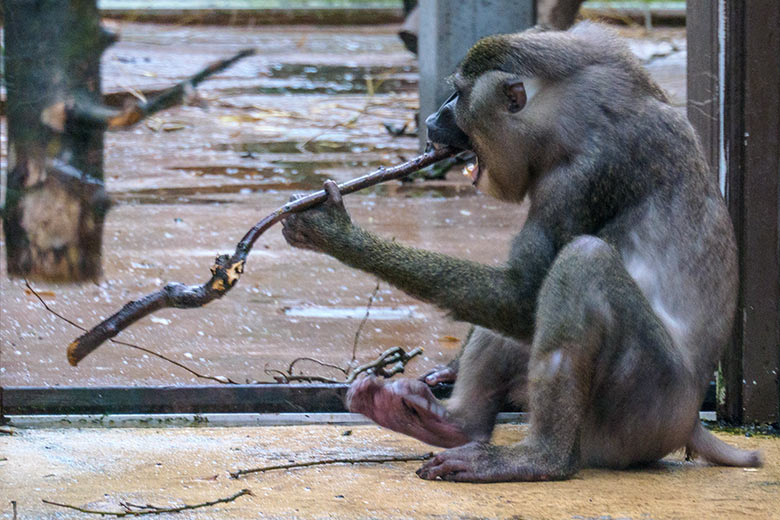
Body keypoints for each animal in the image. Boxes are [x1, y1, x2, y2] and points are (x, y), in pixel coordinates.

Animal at [282, 23, 760, 480]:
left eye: (458, 93)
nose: (434, 117)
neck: (568, 115)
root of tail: (690, 422)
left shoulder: (582, 176)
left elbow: (522, 292)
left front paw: (334, 232)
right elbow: (514, 298)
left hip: (644, 410)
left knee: (582, 263)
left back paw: (540, 459)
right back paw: (450, 424)